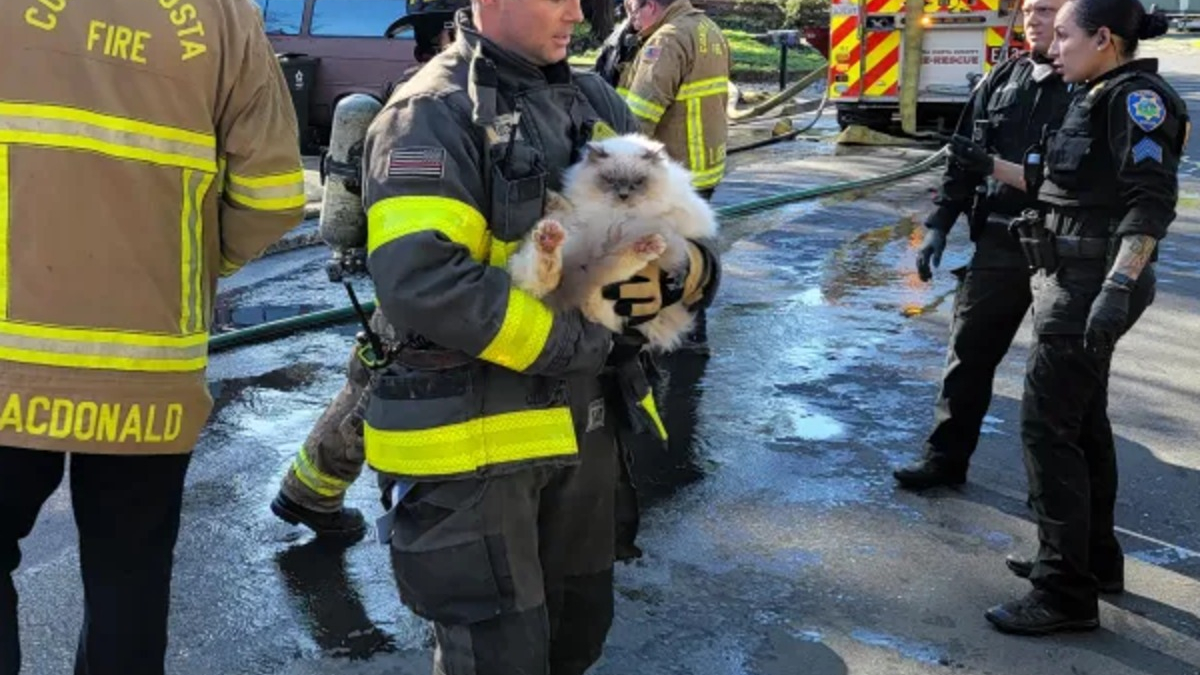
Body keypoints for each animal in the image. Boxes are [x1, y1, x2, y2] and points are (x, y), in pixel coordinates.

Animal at [362, 2, 720, 667]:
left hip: (607, 292)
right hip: (565, 269)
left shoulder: (673, 237)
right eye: (615, 182)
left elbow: (679, 247)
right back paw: (561, 244)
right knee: (546, 271)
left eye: (635, 183)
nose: (625, 197)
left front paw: (654, 245)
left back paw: (633, 252)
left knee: (605, 281)